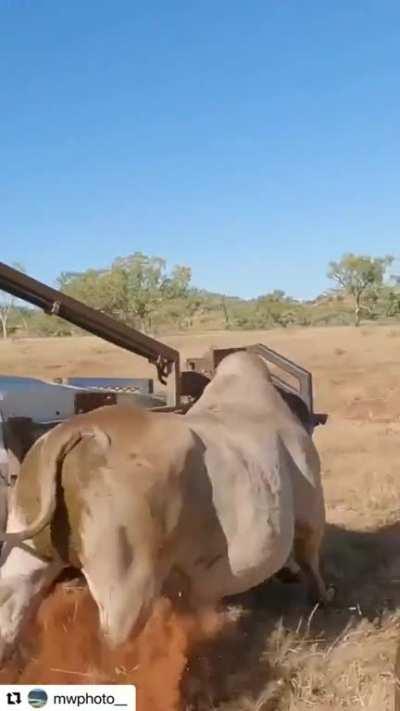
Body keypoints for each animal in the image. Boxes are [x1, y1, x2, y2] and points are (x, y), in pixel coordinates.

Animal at [0, 351, 331, 663]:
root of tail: (79, 430)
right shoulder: (311, 511)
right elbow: (311, 560)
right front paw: (322, 598)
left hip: (30, 552)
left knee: (10, 609)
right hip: (128, 582)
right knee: (113, 644)